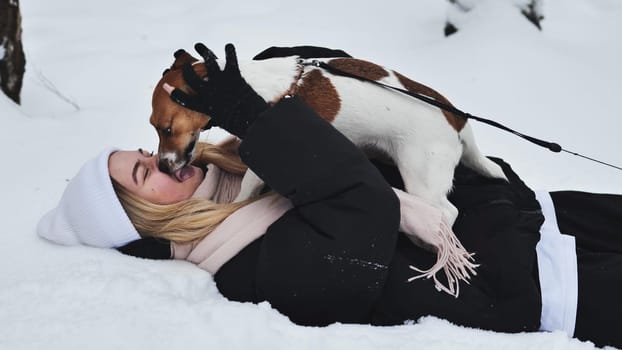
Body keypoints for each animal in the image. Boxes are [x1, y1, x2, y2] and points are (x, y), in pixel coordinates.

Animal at [151, 48, 508, 224]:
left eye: (166, 128)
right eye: (154, 126)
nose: (163, 167)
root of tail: (457, 118)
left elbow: (247, 187)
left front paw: (231, 209)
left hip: (421, 178)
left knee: (448, 212)